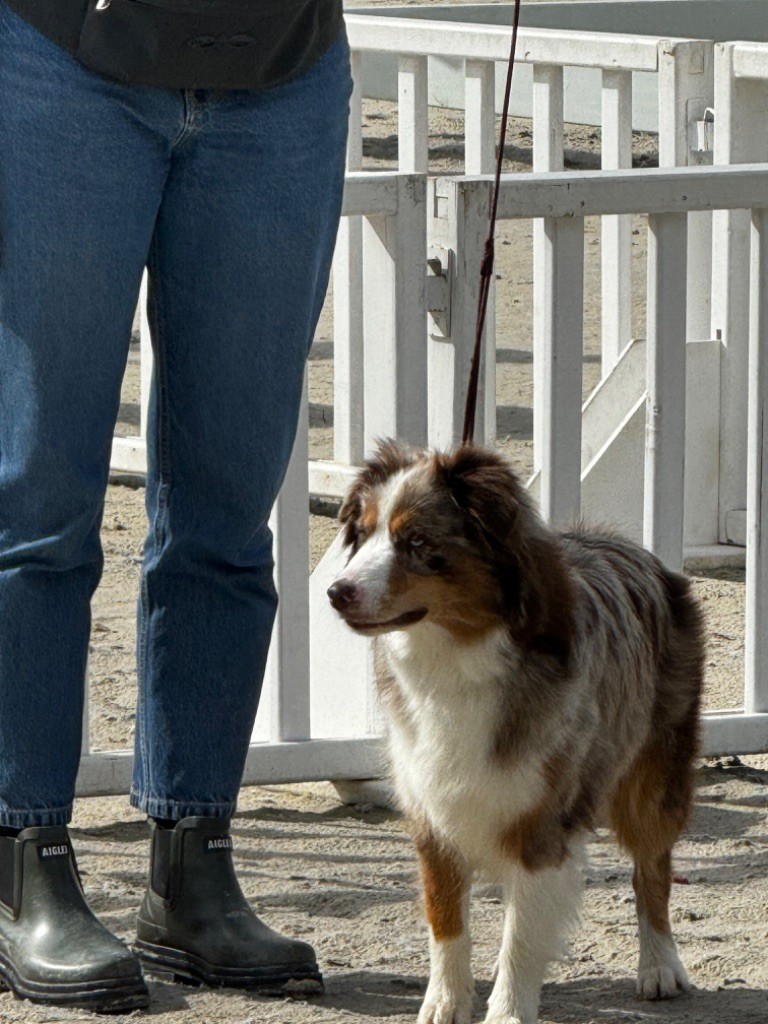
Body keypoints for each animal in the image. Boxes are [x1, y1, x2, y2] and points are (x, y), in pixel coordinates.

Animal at [327, 440, 704, 1024]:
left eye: (417, 542)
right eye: (362, 535)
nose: (336, 592)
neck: (456, 658)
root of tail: (623, 544)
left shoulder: (539, 825)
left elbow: (520, 940)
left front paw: (506, 1012)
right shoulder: (432, 814)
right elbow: (445, 923)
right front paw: (444, 1004)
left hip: (653, 780)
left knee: (652, 871)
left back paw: (660, 965)